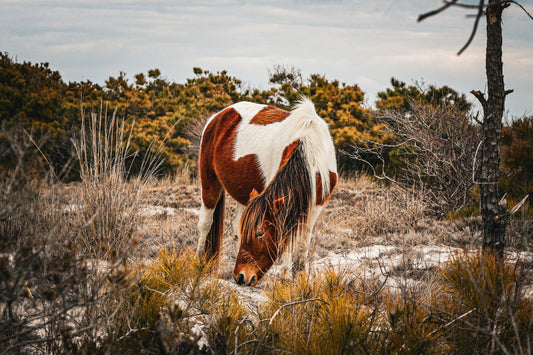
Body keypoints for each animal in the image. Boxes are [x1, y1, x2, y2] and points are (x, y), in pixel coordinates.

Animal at [195, 97, 336, 286]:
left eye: (260, 233)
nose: (241, 276)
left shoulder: (315, 205)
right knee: (205, 223)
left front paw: (299, 276)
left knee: (234, 223)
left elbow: (302, 242)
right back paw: (199, 263)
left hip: (244, 194)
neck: (310, 147)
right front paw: (285, 277)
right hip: (209, 182)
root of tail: (219, 115)